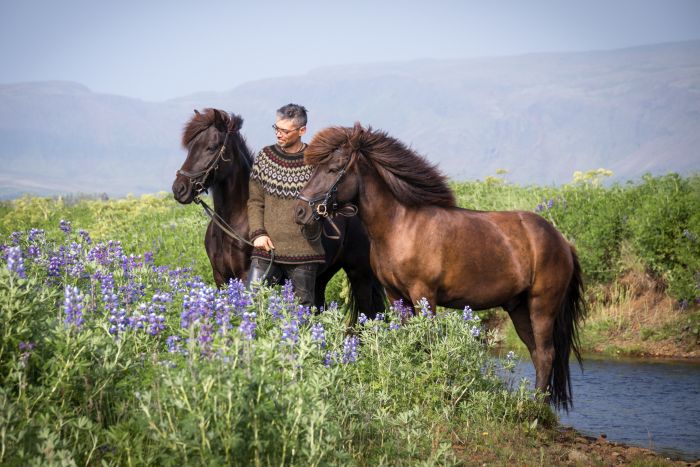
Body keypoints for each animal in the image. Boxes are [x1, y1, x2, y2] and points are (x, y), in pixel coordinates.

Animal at [172, 111, 386, 320]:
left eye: (211, 147)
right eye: (190, 148)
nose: (179, 189)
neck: (232, 225)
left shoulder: (243, 275)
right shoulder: (220, 277)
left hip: (360, 274)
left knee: (369, 313)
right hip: (322, 276)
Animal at [294, 123, 584, 410]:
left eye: (334, 168)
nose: (300, 212)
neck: (401, 225)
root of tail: (562, 242)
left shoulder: (424, 295)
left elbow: (428, 345)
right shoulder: (396, 296)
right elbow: (411, 343)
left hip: (542, 306)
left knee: (546, 353)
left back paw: (538, 408)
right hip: (518, 307)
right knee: (535, 352)